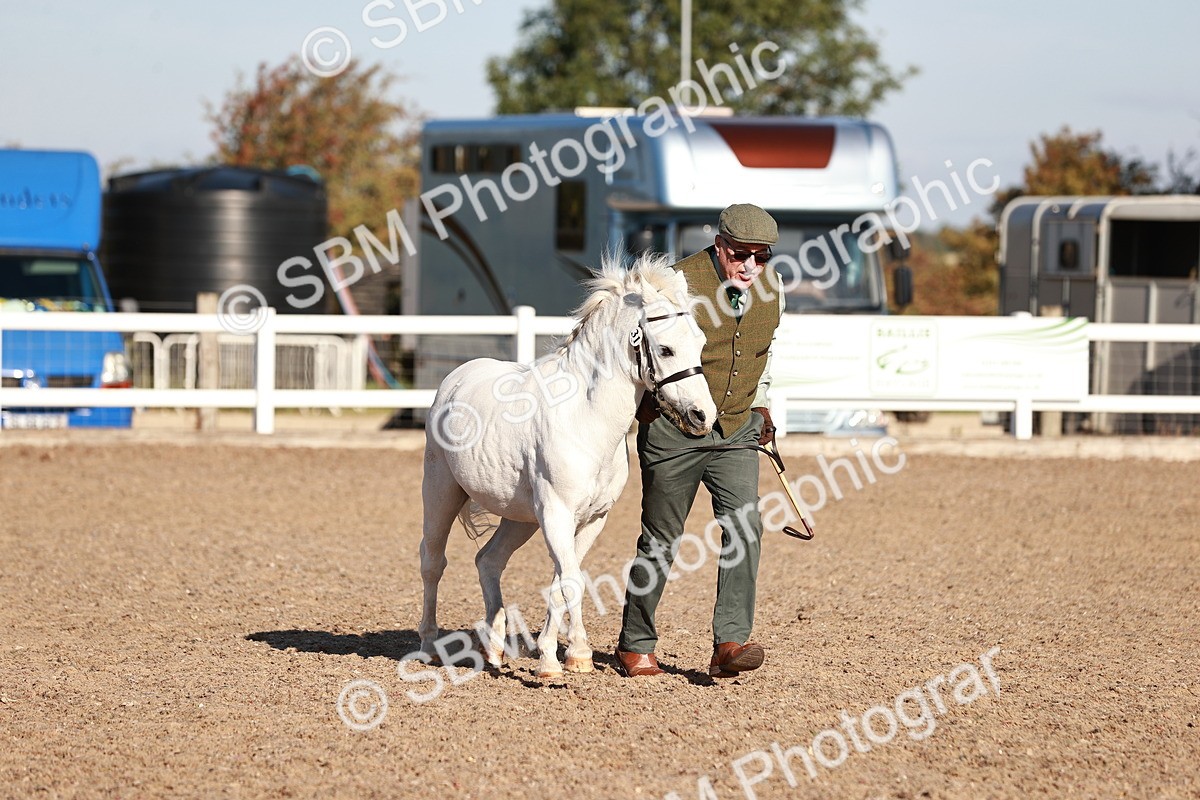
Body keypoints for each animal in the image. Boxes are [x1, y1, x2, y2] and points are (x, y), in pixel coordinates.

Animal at [418, 252, 717, 678]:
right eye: (666, 349)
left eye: (700, 343)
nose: (703, 416)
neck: (584, 418)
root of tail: (455, 378)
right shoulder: (556, 515)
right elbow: (571, 579)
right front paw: (567, 659)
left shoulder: (590, 519)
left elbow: (564, 580)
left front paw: (558, 654)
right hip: (441, 493)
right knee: (433, 562)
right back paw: (428, 645)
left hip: (519, 518)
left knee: (488, 560)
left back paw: (494, 649)